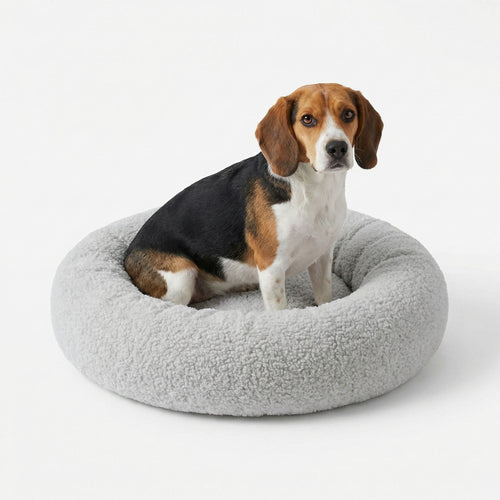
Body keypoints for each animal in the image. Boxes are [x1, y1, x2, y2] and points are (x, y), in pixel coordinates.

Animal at [124, 83, 383, 310]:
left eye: (348, 114)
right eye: (307, 119)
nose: (337, 148)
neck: (313, 188)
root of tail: (126, 255)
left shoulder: (322, 257)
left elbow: (325, 296)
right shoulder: (272, 269)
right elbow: (279, 309)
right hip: (181, 277)